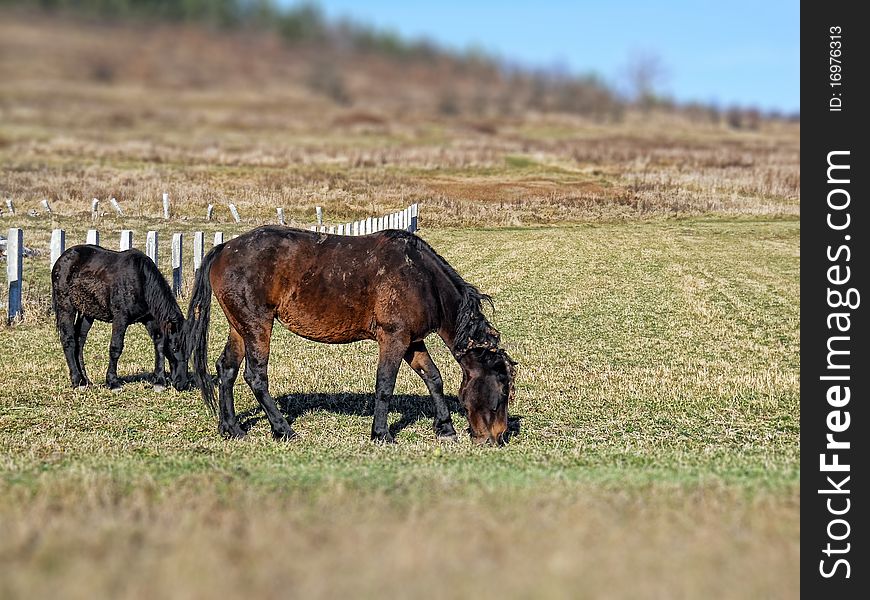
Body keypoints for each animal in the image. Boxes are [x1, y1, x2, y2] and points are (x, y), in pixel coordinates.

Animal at [52, 245, 190, 392]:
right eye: (174, 348)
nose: (182, 383)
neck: (141, 280)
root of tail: (62, 258)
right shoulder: (120, 319)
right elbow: (116, 348)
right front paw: (113, 382)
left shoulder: (149, 319)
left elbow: (159, 344)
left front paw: (159, 381)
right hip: (66, 307)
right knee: (69, 340)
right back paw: (77, 381)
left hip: (87, 313)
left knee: (79, 341)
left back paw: (86, 381)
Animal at [187, 227, 516, 442]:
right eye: (502, 393)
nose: (497, 438)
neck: (422, 279)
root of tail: (225, 248)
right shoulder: (393, 339)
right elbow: (385, 385)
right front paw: (381, 434)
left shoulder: (412, 341)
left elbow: (433, 378)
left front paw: (445, 428)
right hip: (257, 325)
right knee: (256, 377)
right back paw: (283, 430)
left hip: (239, 327)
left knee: (226, 369)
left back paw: (232, 429)